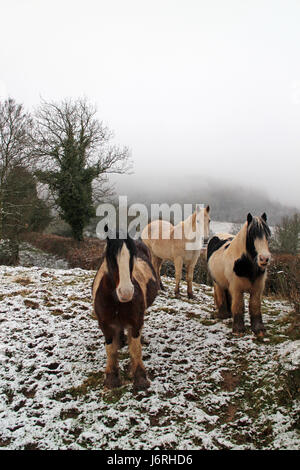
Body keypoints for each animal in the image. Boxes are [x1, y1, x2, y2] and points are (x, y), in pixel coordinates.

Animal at [92, 229, 159, 392]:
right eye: (109, 257)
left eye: (132, 257)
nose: (126, 292)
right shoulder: (105, 325)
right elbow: (111, 350)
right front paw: (111, 378)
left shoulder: (135, 323)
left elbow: (135, 349)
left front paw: (140, 378)